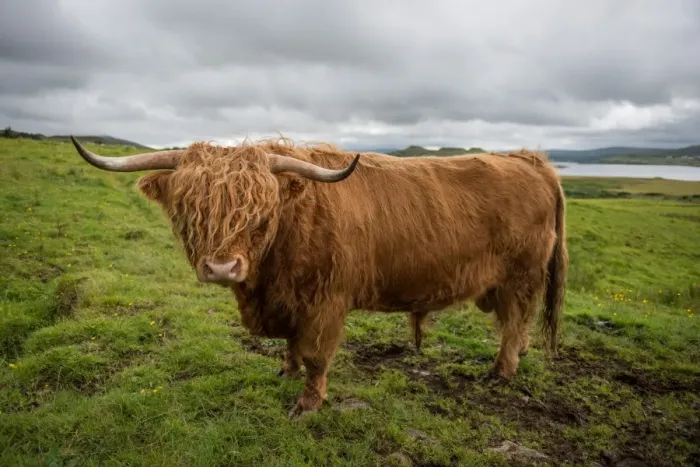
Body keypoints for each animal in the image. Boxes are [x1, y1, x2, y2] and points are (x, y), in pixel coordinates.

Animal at [69, 135, 568, 417]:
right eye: (189, 208)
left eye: (260, 213)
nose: (221, 268)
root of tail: (530, 160)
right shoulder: (287, 300)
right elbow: (291, 345)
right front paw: (284, 372)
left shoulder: (326, 300)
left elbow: (314, 355)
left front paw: (308, 404)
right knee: (515, 321)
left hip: (521, 274)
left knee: (514, 321)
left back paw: (501, 371)